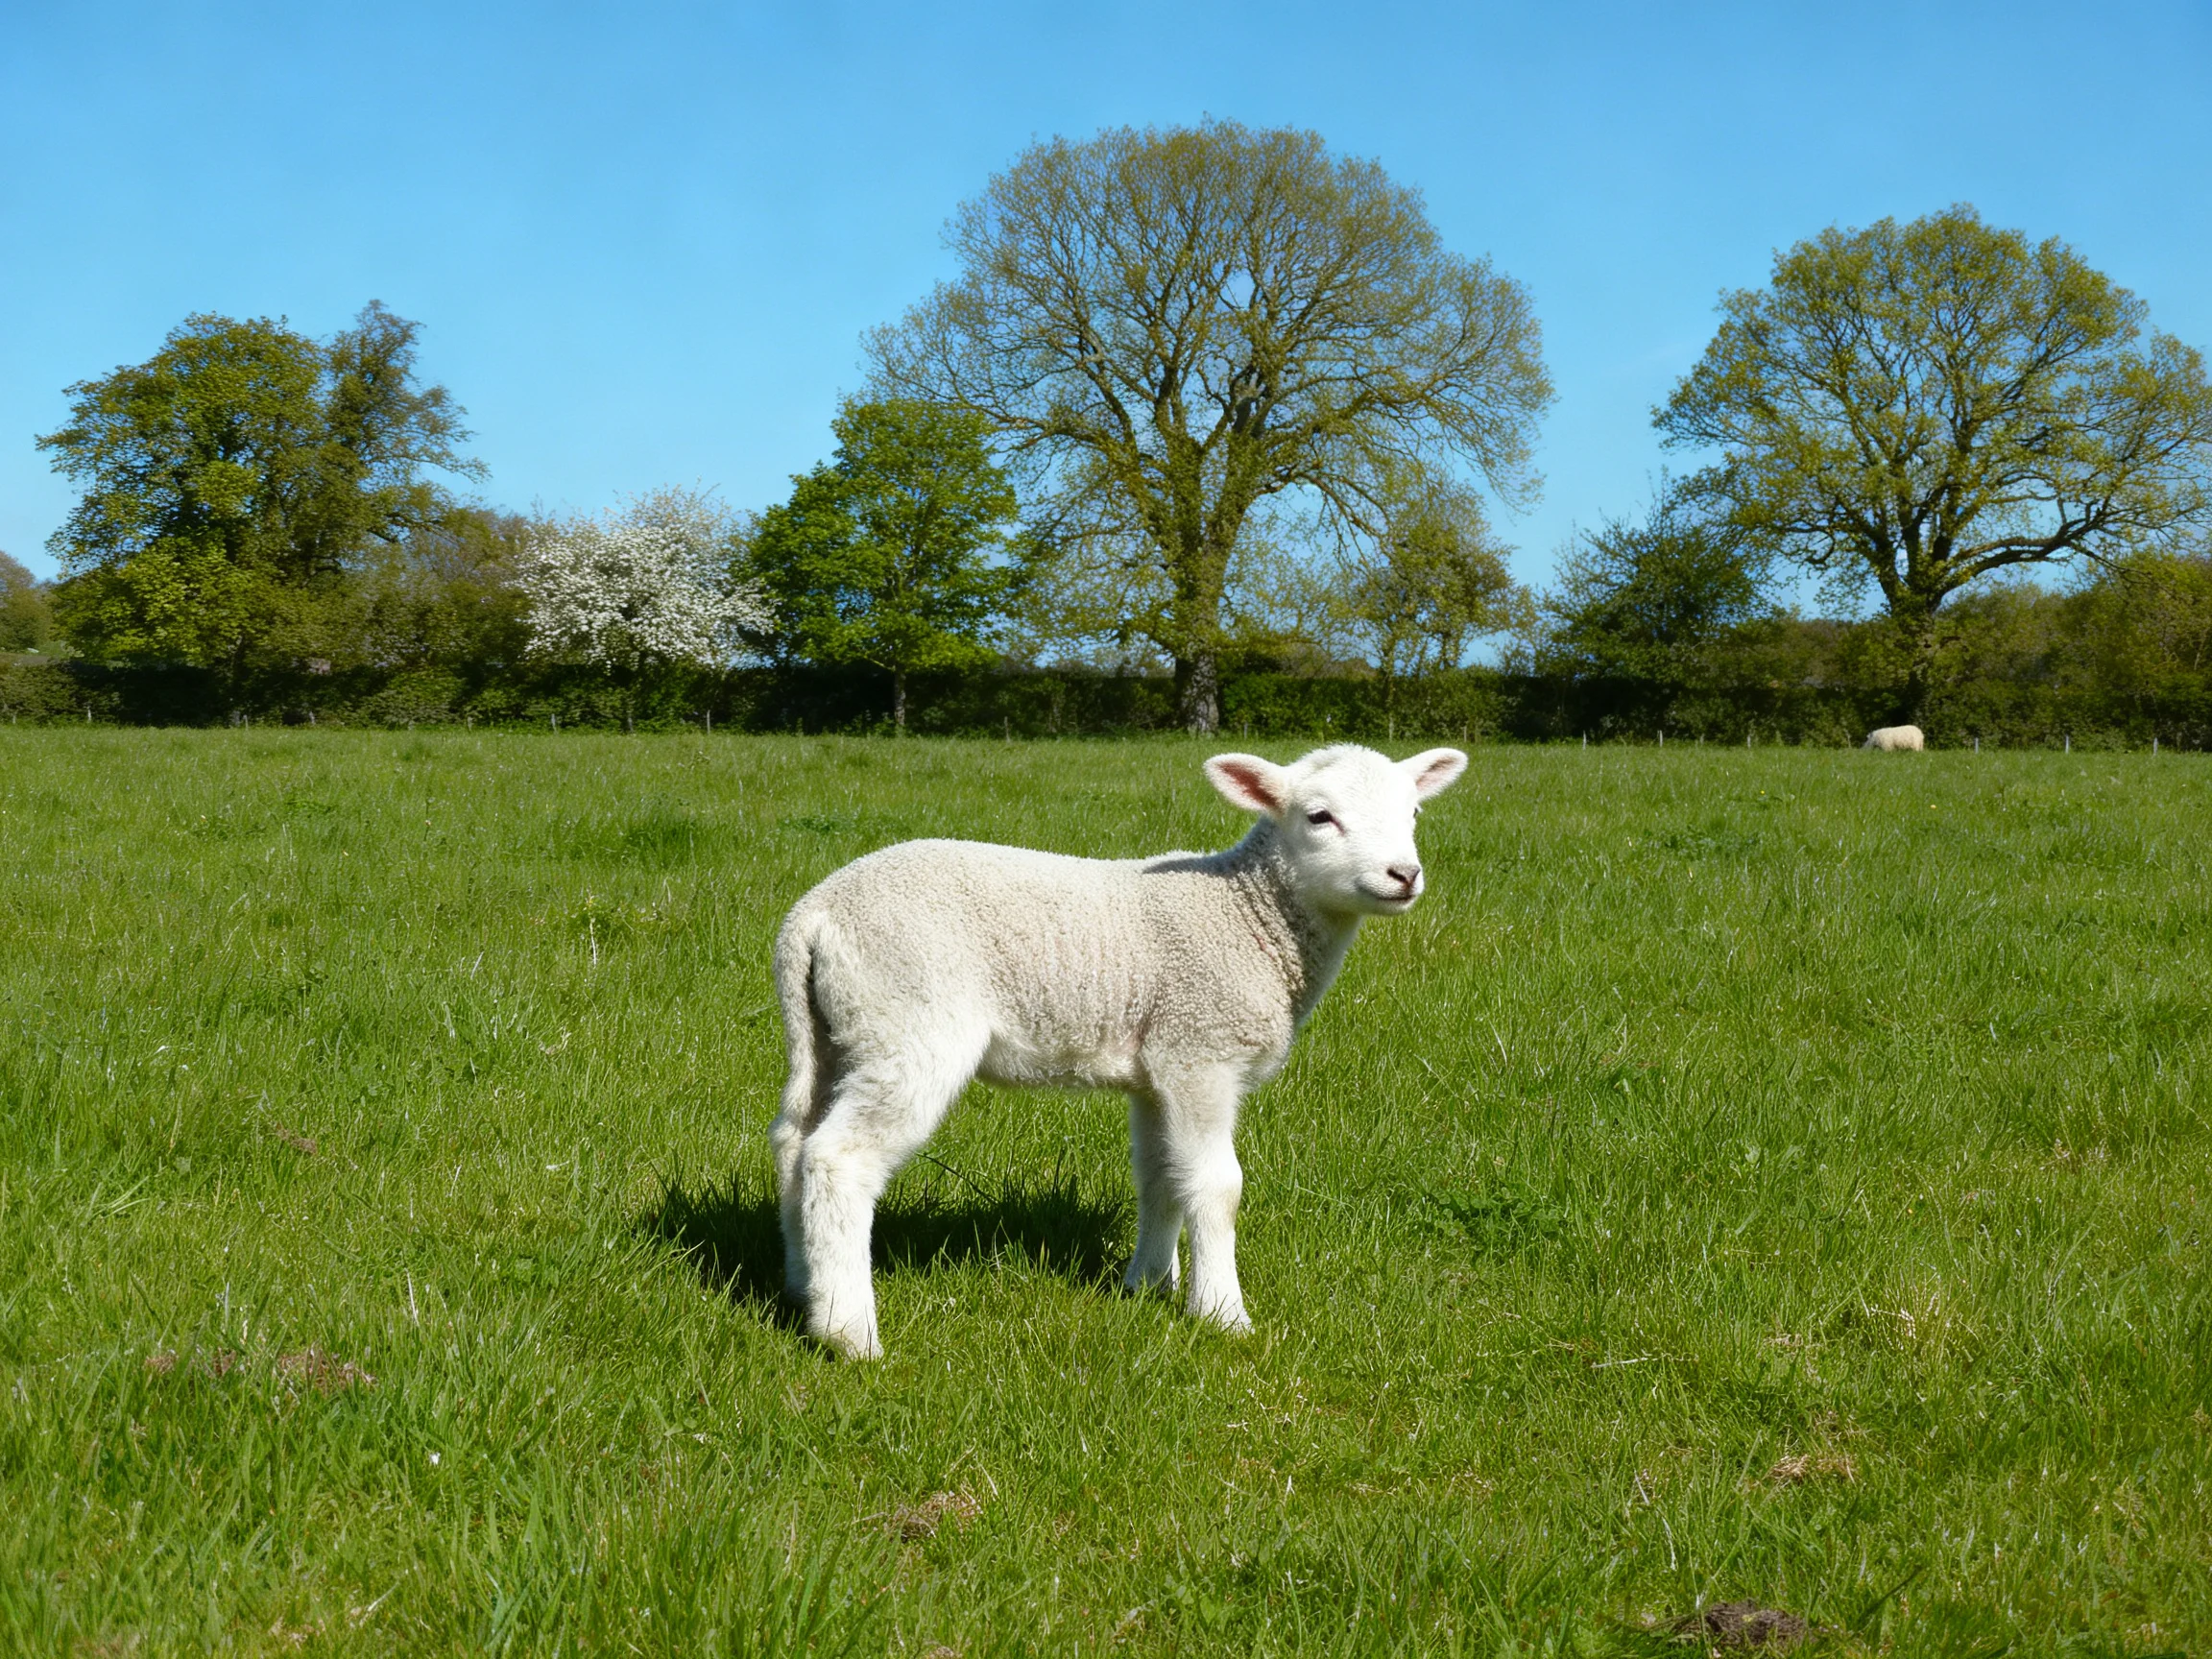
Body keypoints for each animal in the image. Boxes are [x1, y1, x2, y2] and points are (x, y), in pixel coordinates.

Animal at [768, 743, 1469, 1359]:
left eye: (1413, 813)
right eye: (1320, 816)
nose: (1404, 876)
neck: (1248, 915)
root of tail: (814, 914)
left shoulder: (1159, 1066)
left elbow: (1161, 1177)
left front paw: (1149, 1285)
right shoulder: (1199, 1051)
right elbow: (1216, 1185)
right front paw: (1221, 1313)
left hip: (841, 1032)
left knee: (795, 1144)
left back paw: (803, 1289)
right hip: (909, 1022)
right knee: (838, 1160)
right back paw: (848, 1333)